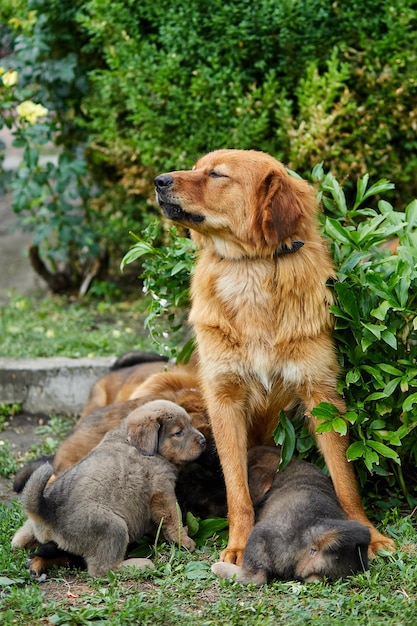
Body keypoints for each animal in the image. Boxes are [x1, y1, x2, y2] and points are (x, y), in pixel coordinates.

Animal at [13, 400, 206, 576]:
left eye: (190, 424)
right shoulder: (163, 491)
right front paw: (185, 540)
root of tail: (46, 512)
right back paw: (138, 565)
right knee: (102, 569)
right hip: (114, 527)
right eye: (179, 432)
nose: (203, 440)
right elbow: (173, 518)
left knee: (21, 536)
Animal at [154, 149, 394, 564]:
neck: (251, 268)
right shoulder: (224, 400)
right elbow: (237, 486)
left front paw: (370, 534)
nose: (159, 180)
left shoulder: (321, 396)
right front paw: (238, 543)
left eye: (216, 175)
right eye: (197, 167)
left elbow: (345, 479)